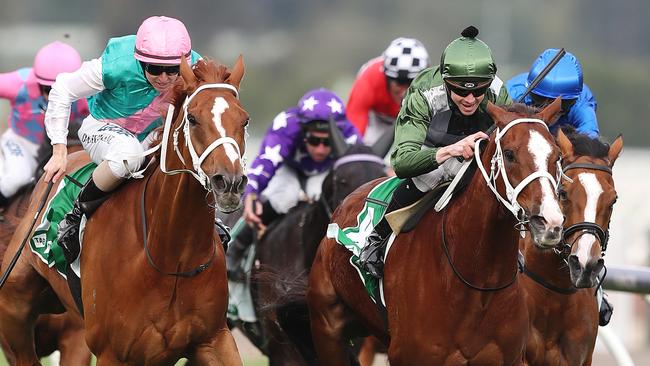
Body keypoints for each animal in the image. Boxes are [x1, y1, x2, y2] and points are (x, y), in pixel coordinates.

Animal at [0, 56, 248, 364]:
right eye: (192, 118)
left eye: (244, 120)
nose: (230, 182)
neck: (173, 257)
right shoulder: (111, 351)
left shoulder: (214, 339)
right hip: (14, 310)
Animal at [306, 100, 564, 366]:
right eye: (510, 154)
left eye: (557, 156)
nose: (549, 222)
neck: (475, 280)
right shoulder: (409, 355)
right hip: (327, 330)